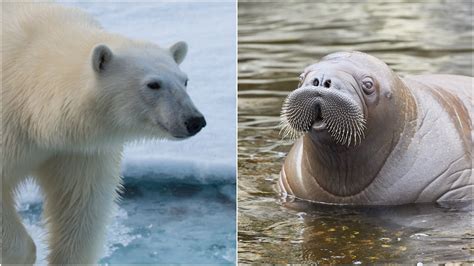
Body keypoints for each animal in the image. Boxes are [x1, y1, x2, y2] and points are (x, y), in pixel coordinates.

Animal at [1, 2, 206, 264]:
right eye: (153, 84)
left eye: (185, 80)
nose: (194, 120)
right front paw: (22, 254)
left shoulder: (77, 151)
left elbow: (81, 207)